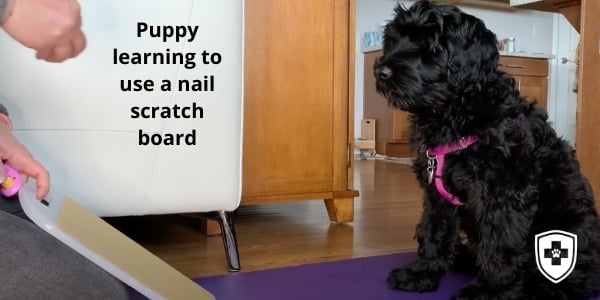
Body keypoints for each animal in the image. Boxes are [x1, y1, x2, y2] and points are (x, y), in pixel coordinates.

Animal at [378, 0, 600, 300]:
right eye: (392, 40)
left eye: (426, 44)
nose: (381, 72)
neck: (456, 114)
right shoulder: (436, 195)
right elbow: (434, 232)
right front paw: (422, 273)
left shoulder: (503, 196)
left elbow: (499, 246)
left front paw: (489, 290)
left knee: (576, 279)